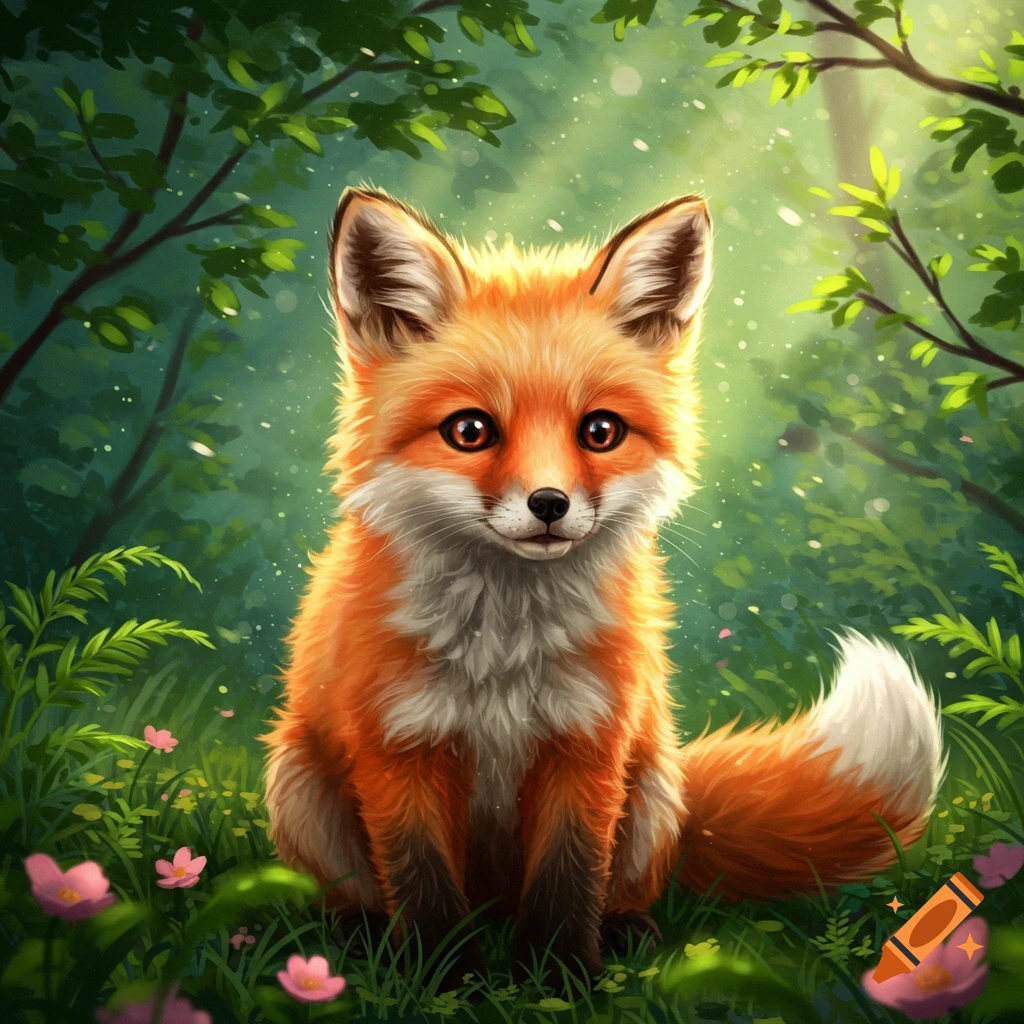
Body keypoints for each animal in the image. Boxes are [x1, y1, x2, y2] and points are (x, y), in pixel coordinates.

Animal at [262, 187, 945, 982]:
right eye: (470, 431)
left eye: (600, 431)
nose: (549, 504)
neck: (505, 654)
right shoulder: (399, 750)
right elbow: (424, 890)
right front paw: (443, 981)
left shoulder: (587, 746)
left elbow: (569, 880)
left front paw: (560, 980)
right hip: (298, 783)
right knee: (358, 893)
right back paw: (359, 935)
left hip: (650, 786)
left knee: (624, 887)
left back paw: (625, 934)